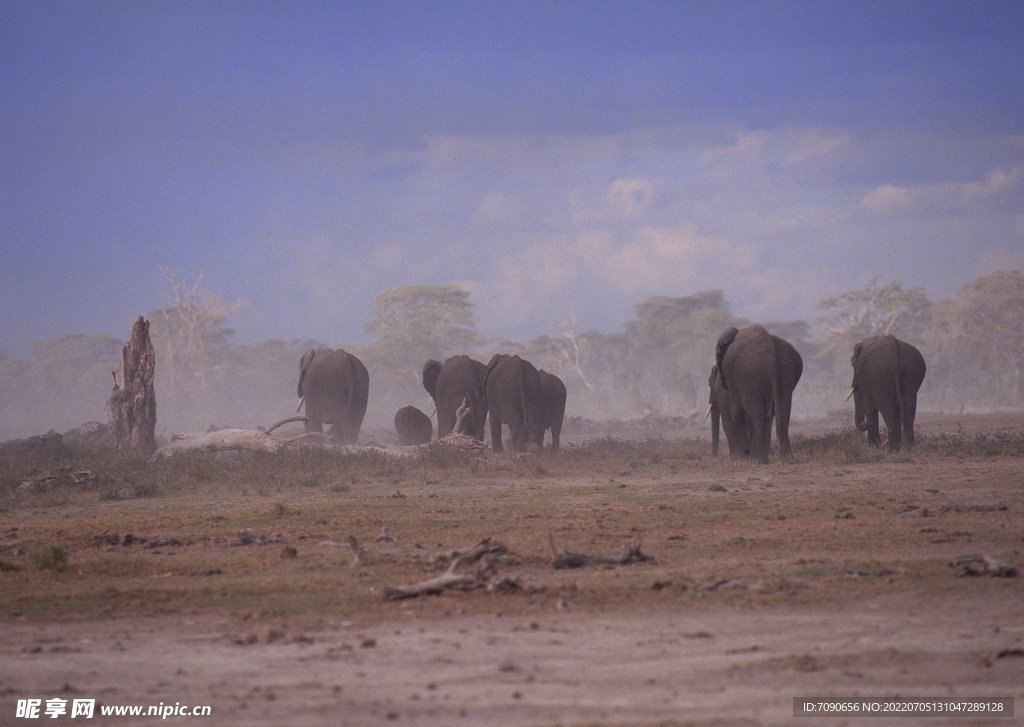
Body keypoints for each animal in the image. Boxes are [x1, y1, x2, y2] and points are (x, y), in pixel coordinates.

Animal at [712, 325, 798, 464]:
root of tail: (770, 345)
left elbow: (736, 411)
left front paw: (743, 456)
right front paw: (748, 455)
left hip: (750, 374)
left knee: (758, 416)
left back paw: (761, 460)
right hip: (786, 371)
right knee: (782, 414)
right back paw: (786, 459)